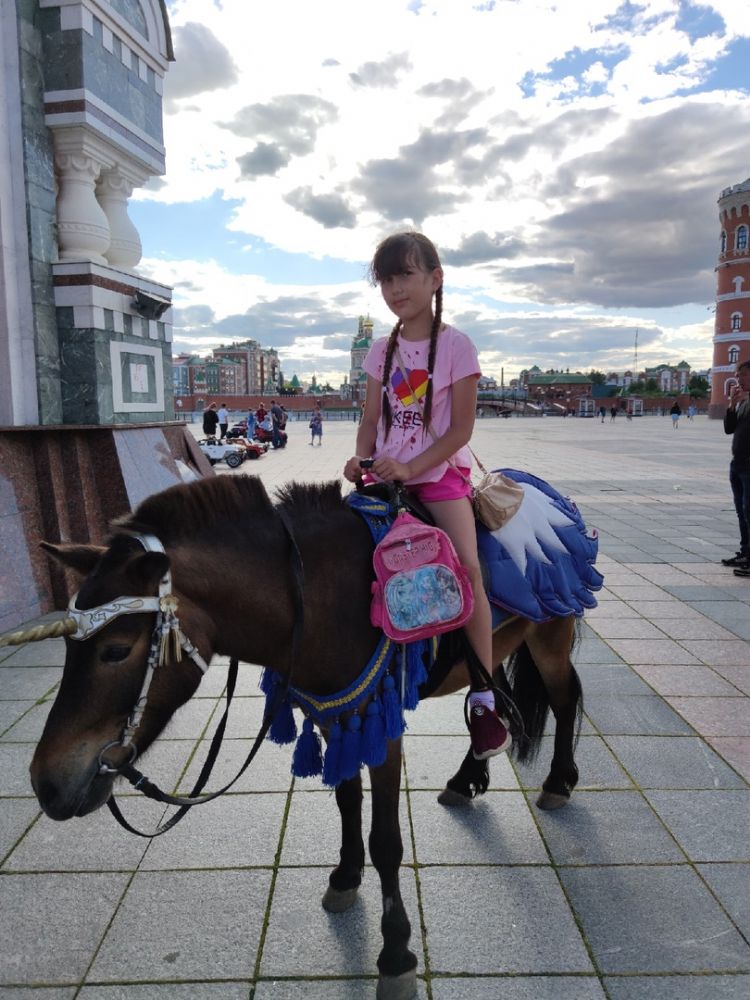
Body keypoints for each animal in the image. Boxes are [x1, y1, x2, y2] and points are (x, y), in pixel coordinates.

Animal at [20, 474, 590, 1000]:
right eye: (67, 647)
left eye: (115, 650)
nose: (47, 782)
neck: (317, 597)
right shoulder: (334, 717)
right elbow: (346, 800)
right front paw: (344, 877)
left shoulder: (379, 725)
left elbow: (386, 840)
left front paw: (396, 954)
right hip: (503, 642)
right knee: (488, 697)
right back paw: (467, 776)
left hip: (550, 632)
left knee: (565, 697)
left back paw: (559, 782)